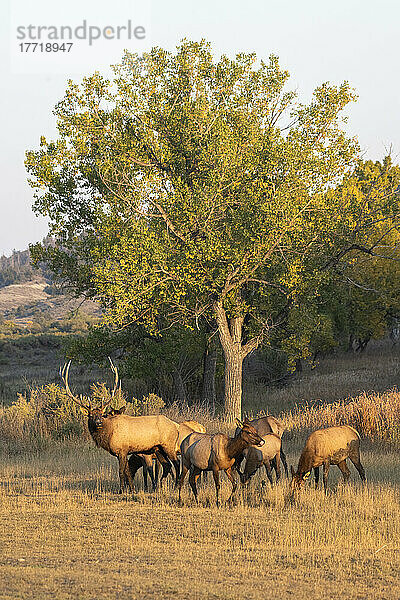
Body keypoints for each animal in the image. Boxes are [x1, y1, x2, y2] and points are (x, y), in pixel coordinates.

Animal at [60, 360, 180, 492]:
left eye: (101, 414)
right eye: (90, 415)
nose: (98, 422)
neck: (108, 435)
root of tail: (176, 427)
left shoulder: (122, 450)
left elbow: (121, 472)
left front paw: (121, 490)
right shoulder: (123, 453)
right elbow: (128, 471)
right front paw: (132, 489)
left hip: (168, 445)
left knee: (176, 463)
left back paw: (176, 486)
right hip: (158, 449)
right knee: (167, 465)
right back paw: (159, 487)